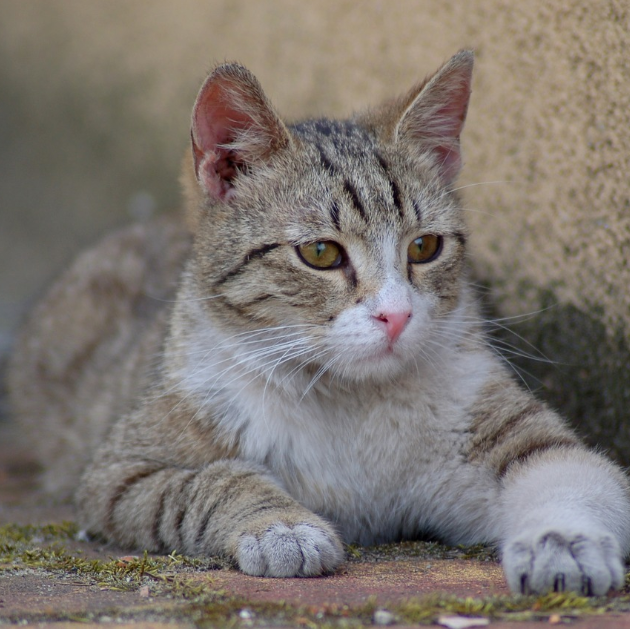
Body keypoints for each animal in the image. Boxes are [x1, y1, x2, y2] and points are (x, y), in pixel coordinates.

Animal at [8, 50, 630, 592]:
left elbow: (568, 470)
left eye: (425, 247)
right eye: (322, 253)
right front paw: (279, 525)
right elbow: (211, 480)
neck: (348, 401)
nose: (397, 314)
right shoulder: (118, 472)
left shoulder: (503, 426)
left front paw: (564, 542)